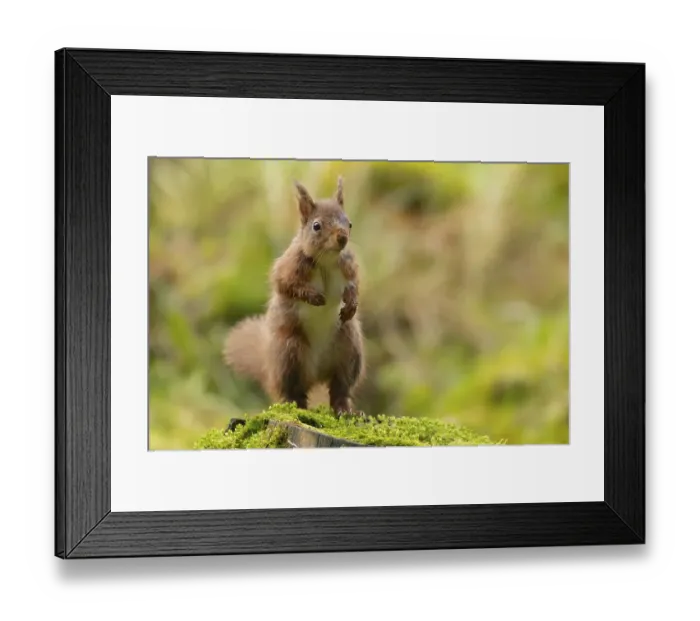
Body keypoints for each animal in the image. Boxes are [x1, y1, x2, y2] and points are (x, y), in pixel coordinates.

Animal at [223, 176, 366, 416]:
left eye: (350, 223)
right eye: (316, 226)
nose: (342, 238)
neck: (326, 260)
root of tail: (316, 374)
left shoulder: (348, 266)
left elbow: (354, 286)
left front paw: (351, 306)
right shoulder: (289, 266)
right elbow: (284, 285)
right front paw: (314, 298)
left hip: (349, 350)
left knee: (340, 387)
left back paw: (345, 410)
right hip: (289, 354)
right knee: (293, 391)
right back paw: (297, 406)